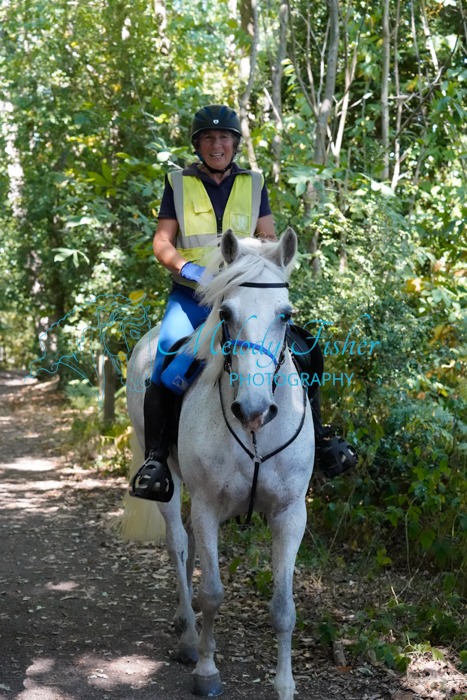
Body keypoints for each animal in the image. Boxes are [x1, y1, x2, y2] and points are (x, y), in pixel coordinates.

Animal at [126, 229, 314, 700]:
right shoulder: (209, 507)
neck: (255, 435)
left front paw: (285, 685)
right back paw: (190, 638)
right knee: (178, 544)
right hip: (170, 481)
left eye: (286, 315)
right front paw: (207, 671)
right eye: (226, 312)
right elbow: (212, 592)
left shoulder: (289, 514)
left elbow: (284, 607)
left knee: (190, 546)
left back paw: (184, 621)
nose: (253, 409)